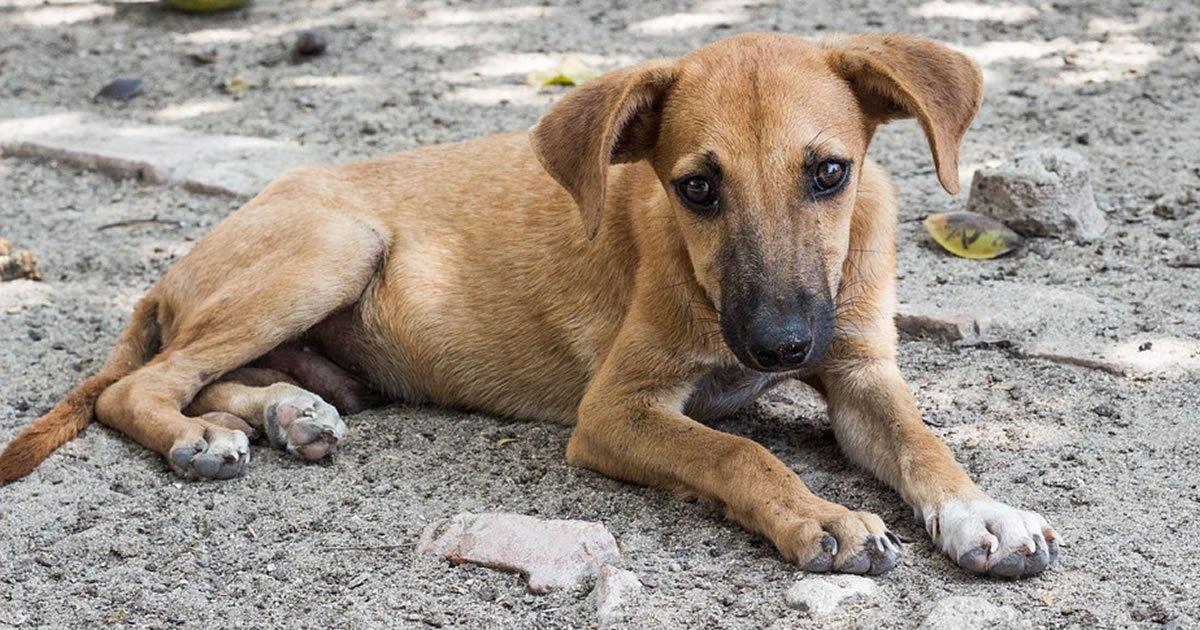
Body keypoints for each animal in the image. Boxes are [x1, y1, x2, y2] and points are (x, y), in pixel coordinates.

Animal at [0, 33, 1060, 573]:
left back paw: (287, 414)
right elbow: (737, 451)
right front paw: (820, 518)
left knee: (227, 376)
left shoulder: (862, 374)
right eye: (696, 188)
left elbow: (925, 444)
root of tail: (169, 270)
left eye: (830, 172)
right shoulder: (616, 412)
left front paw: (984, 514)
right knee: (139, 386)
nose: (781, 345)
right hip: (332, 246)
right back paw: (198, 437)